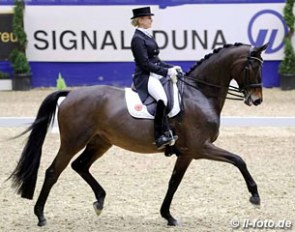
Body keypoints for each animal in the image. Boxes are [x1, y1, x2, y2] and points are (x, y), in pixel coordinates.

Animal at [8, 42, 268, 227]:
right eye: (252, 67)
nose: (257, 100)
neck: (200, 93)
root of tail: (71, 93)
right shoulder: (197, 148)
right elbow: (238, 160)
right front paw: (255, 196)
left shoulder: (187, 153)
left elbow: (174, 181)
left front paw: (167, 216)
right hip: (73, 141)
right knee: (54, 171)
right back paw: (40, 215)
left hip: (100, 142)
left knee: (80, 165)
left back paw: (100, 200)